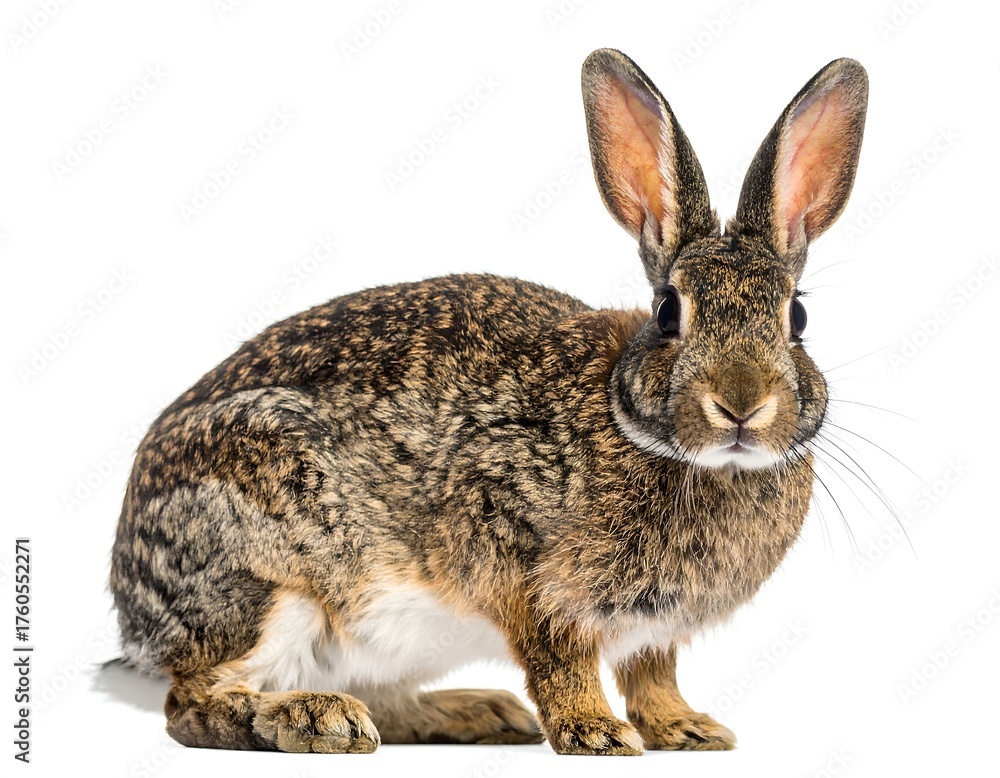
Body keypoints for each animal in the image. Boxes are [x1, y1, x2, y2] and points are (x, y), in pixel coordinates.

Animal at [110, 48, 867, 755]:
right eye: (667, 312)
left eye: (796, 319)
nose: (740, 406)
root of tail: (131, 611)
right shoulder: (517, 556)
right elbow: (561, 660)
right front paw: (596, 733)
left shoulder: (655, 628)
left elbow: (653, 675)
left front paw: (687, 729)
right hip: (269, 578)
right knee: (193, 701)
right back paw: (310, 718)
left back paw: (475, 711)